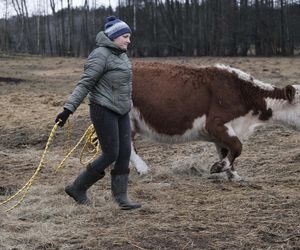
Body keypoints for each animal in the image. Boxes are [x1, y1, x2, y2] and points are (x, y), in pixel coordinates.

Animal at [130, 61, 300, 181]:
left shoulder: (223, 133)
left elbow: (226, 151)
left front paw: (233, 175)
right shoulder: (215, 123)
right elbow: (237, 147)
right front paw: (218, 167)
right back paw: (143, 169)